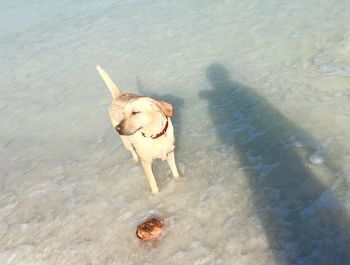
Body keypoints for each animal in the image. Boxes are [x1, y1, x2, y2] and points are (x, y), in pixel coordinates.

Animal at [96, 64, 180, 192]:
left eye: (135, 112)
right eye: (124, 114)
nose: (117, 128)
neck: (154, 135)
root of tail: (119, 95)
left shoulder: (170, 153)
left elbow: (175, 172)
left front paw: (179, 180)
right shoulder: (146, 162)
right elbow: (153, 184)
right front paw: (157, 194)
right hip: (126, 142)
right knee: (132, 151)